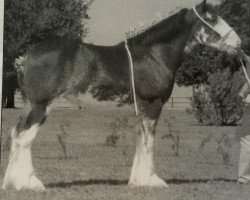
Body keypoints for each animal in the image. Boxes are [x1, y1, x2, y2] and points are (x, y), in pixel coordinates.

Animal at [0, 0, 241, 191]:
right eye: (213, 18)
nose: (238, 43)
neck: (153, 55)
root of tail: (26, 57)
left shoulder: (141, 109)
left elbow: (140, 141)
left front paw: (137, 181)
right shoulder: (153, 105)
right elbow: (149, 143)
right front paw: (151, 181)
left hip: (31, 105)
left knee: (17, 134)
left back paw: (12, 183)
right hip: (40, 105)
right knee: (25, 137)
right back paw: (29, 183)